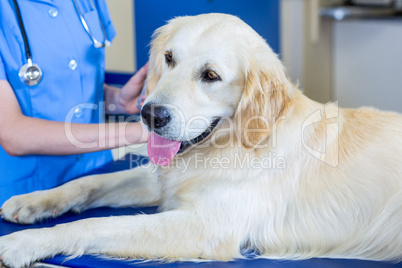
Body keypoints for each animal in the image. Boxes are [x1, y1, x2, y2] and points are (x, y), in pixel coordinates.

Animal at [0, 13, 402, 268]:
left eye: (210, 75)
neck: (234, 145)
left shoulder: (208, 225)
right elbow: (89, 183)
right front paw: (33, 201)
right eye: (168, 58)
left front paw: (24, 243)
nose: (150, 115)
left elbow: (97, 225)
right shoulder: (165, 178)